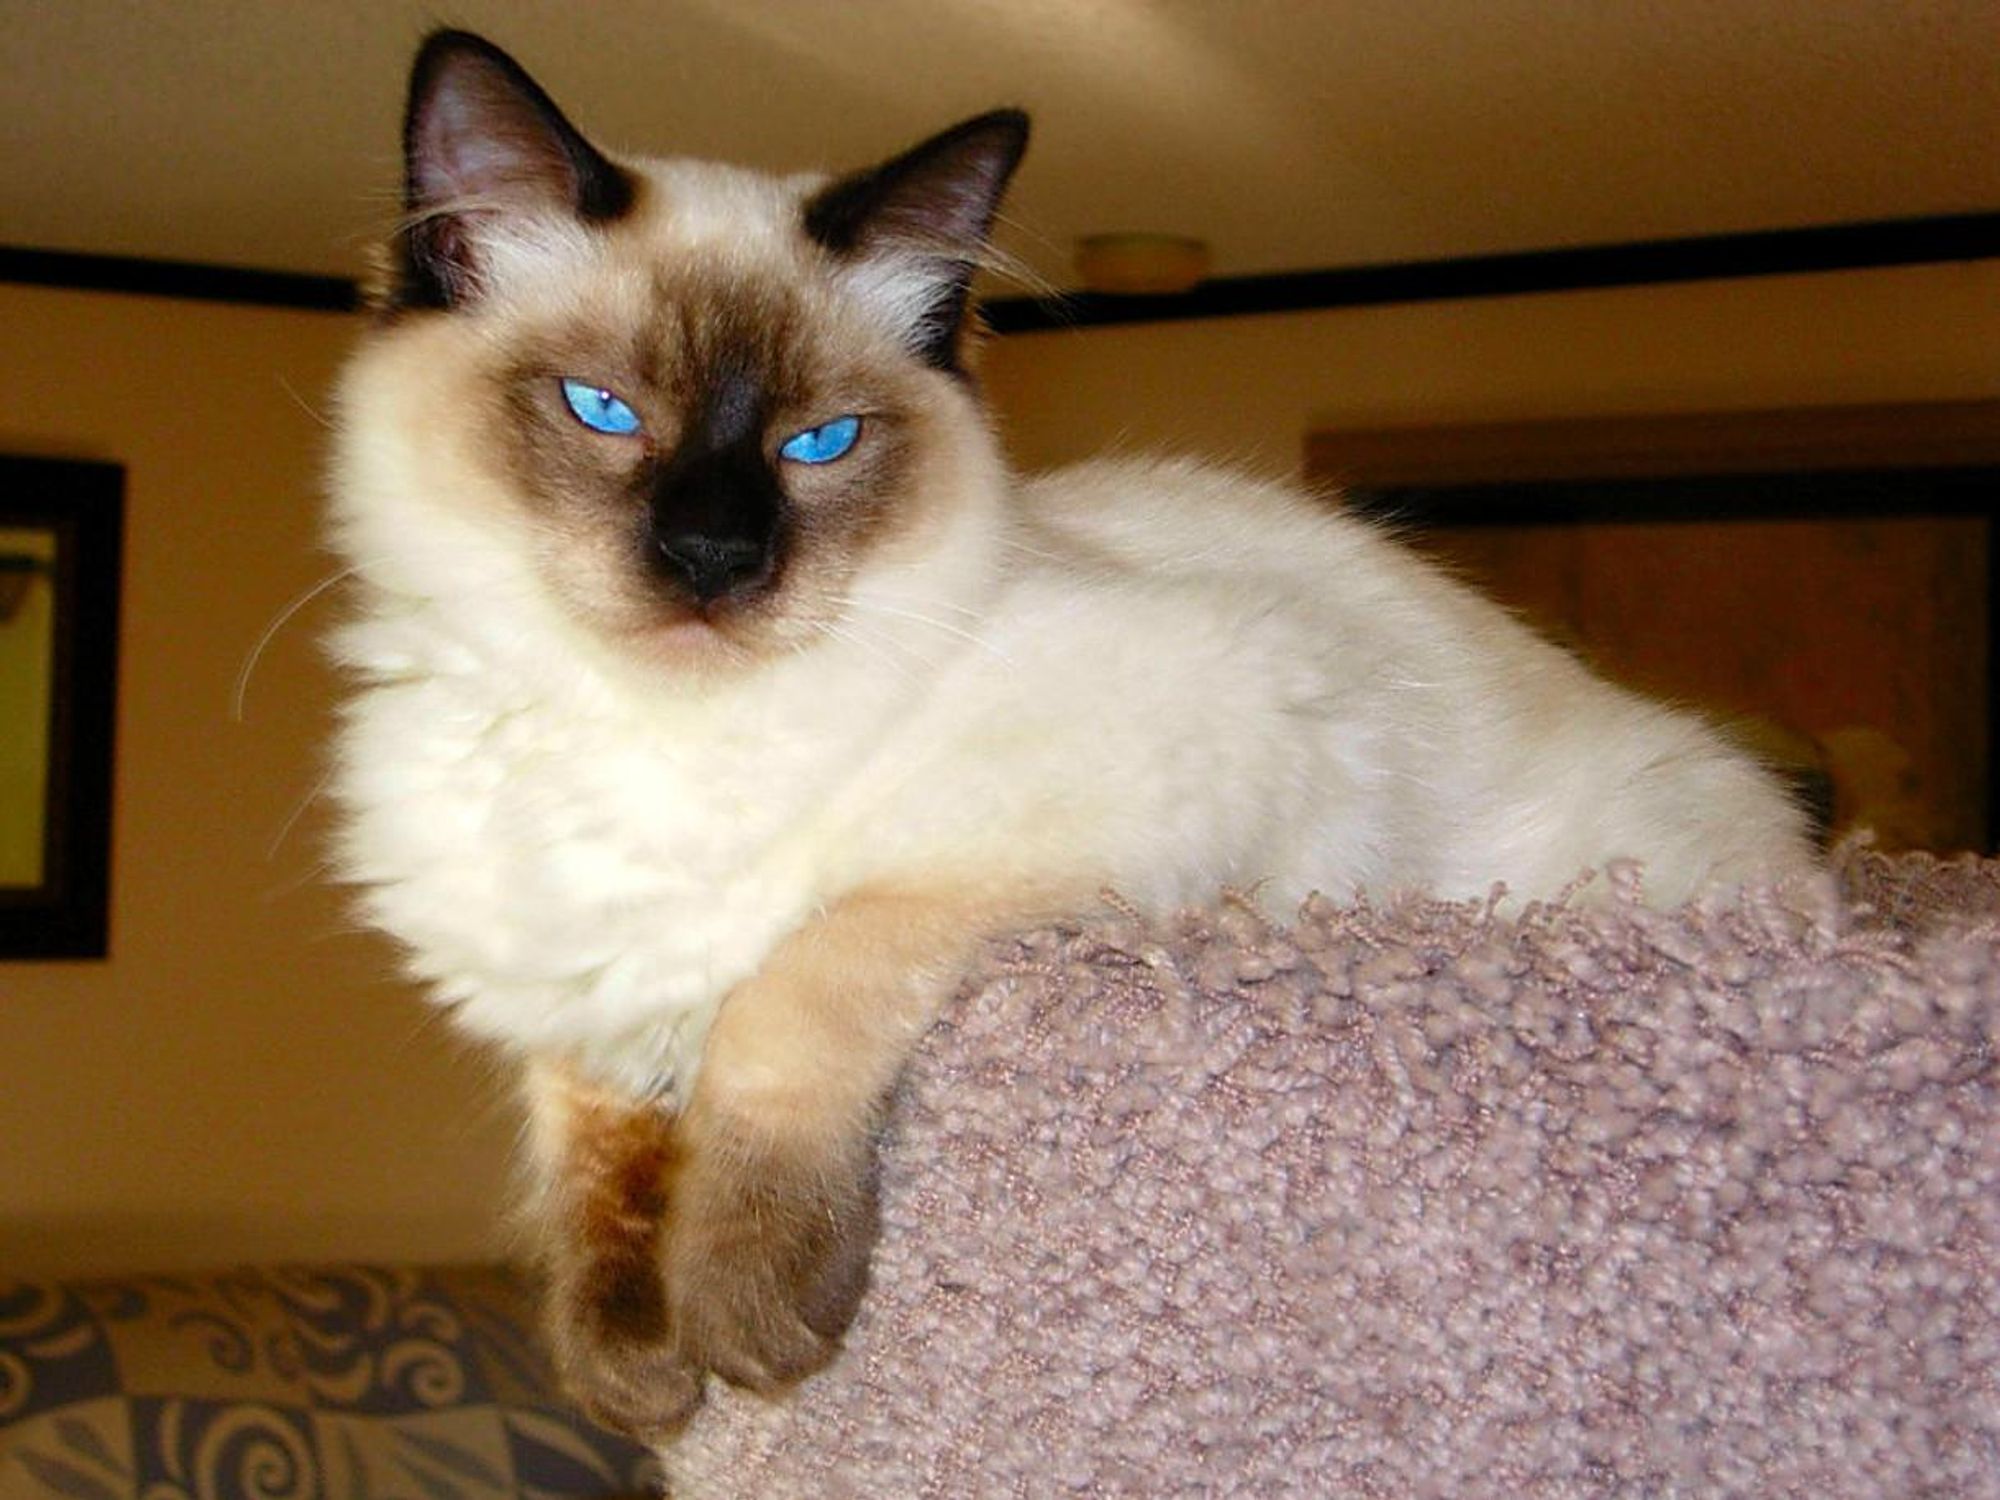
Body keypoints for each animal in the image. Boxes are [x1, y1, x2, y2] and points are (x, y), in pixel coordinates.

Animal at [324, 29, 1816, 1448]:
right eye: (603, 412)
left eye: (821, 443)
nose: (713, 559)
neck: (622, 731)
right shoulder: (565, 1001)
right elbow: (589, 1156)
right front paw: (628, 1374)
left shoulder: (1118, 802)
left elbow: (786, 1000)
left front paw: (745, 1315)